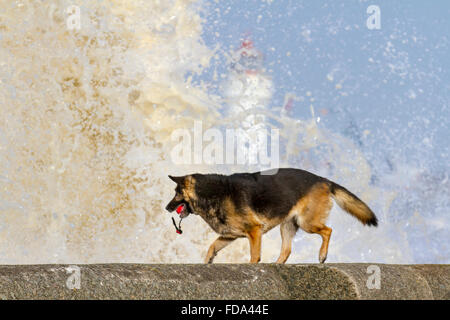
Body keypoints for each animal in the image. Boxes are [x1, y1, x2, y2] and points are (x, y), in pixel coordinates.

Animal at [165, 169, 376, 264]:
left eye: (176, 193)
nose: (166, 208)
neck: (211, 193)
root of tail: (323, 180)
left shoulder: (254, 231)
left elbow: (254, 255)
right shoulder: (230, 235)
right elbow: (212, 246)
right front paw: (208, 260)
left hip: (307, 223)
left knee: (328, 230)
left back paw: (322, 255)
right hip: (288, 225)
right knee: (287, 250)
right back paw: (277, 265)